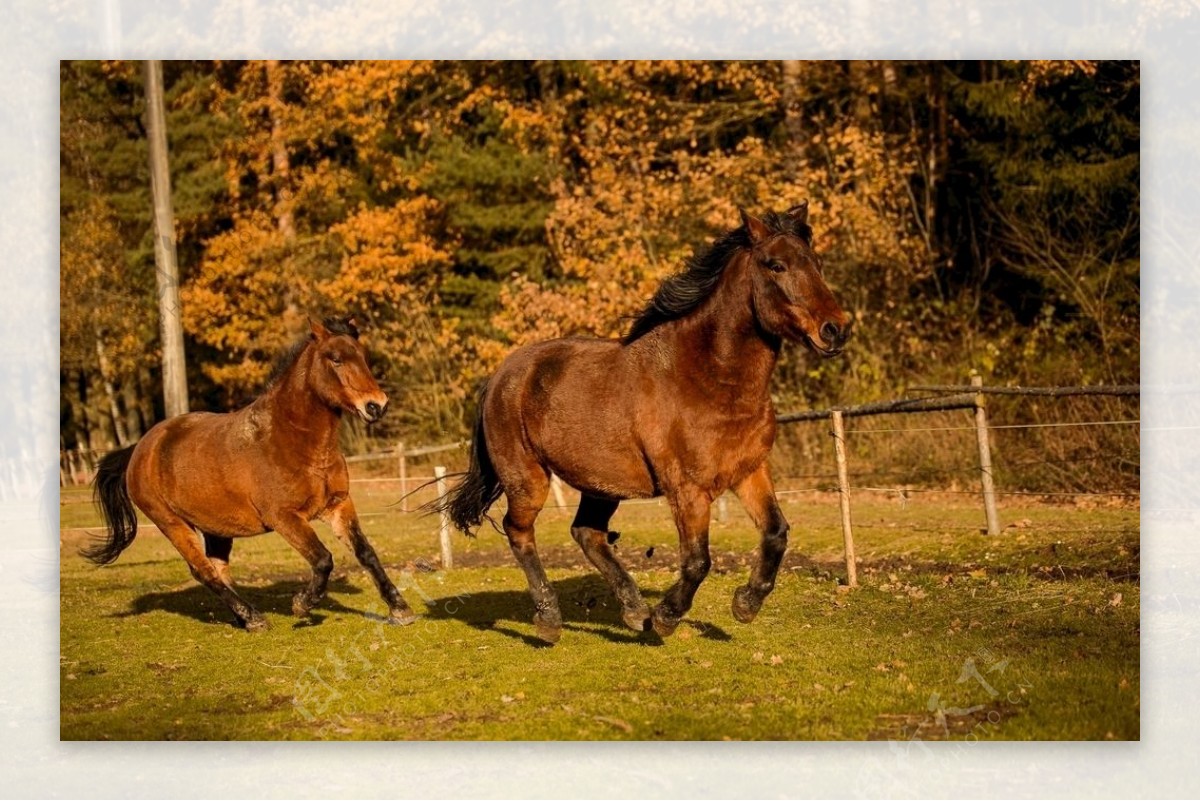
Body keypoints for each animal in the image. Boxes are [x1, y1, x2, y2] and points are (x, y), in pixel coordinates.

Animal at [87, 316, 415, 633]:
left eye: (363, 356)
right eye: (335, 359)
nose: (376, 405)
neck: (293, 440)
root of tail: (140, 449)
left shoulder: (338, 505)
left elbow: (366, 553)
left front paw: (400, 611)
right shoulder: (284, 517)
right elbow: (323, 560)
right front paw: (302, 604)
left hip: (215, 527)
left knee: (218, 569)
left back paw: (245, 618)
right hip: (172, 523)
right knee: (203, 570)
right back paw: (254, 618)